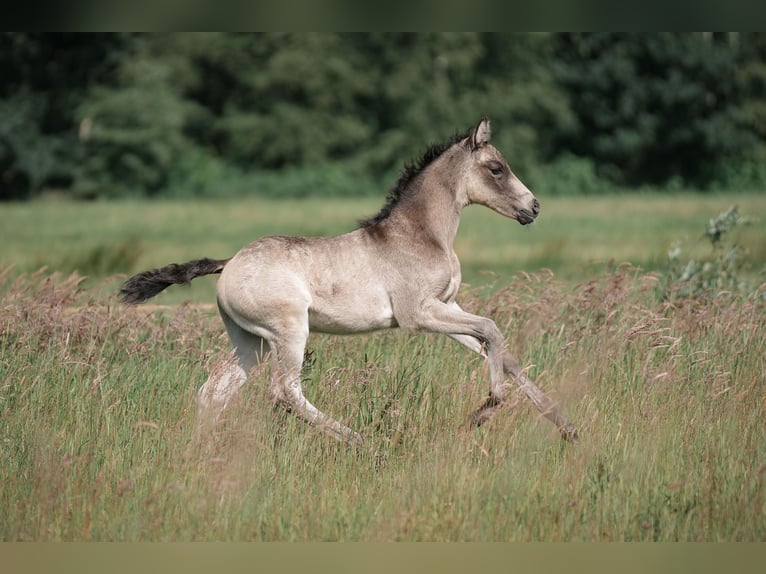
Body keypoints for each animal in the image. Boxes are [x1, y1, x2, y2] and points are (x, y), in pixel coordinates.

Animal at [120, 119, 576, 446]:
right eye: (497, 169)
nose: (534, 207)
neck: (423, 234)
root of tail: (229, 262)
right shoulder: (419, 314)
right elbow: (491, 330)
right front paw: (487, 408)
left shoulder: (448, 307)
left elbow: (499, 349)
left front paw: (565, 425)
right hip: (288, 332)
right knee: (285, 392)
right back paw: (363, 443)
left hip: (250, 342)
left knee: (214, 391)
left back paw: (202, 454)